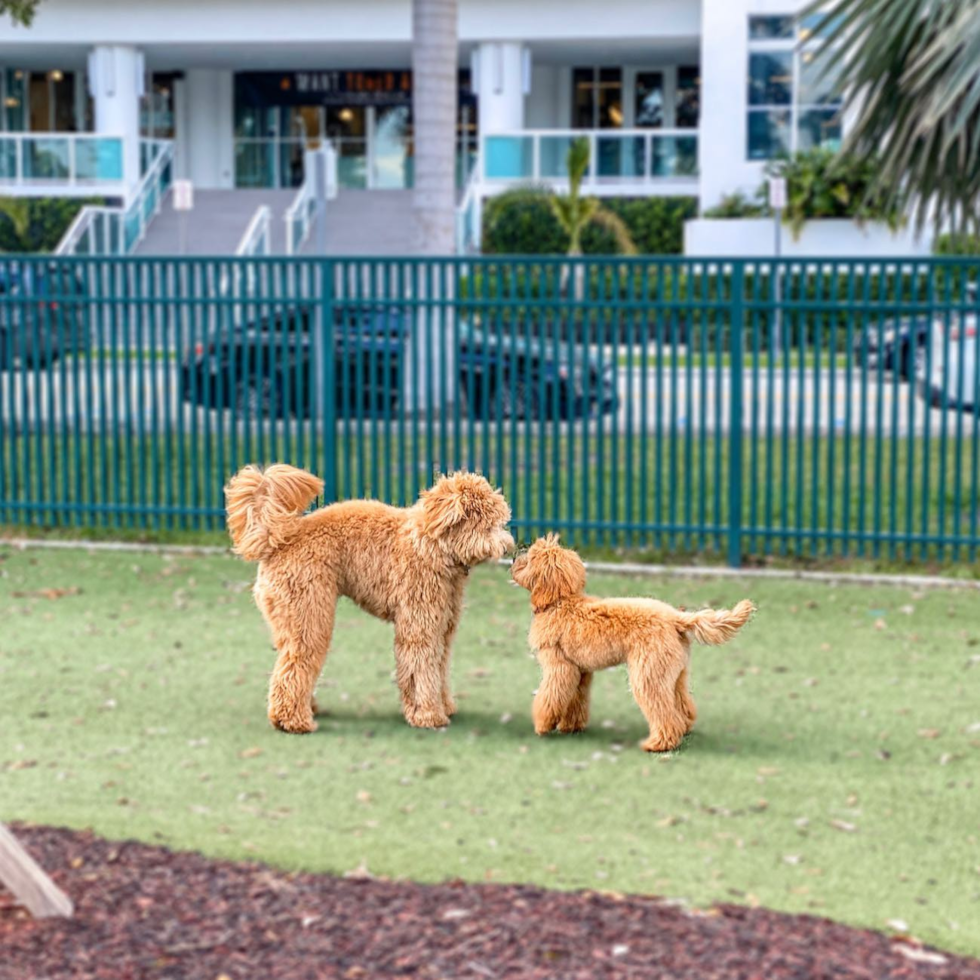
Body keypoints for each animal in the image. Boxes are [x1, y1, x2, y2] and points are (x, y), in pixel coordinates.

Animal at [223, 468, 512, 736]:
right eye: (487, 524)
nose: (508, 547)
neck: (430, 544)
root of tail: (278, 540)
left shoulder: (443, 627)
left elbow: (439, 666)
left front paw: (445, 706)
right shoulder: (420, 626)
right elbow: (420, 669)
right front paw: (428, 716)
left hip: (288, 620)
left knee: (288, 664)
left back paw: (307, 708)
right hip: (308, 614)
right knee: (294, 666)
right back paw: (293, 721)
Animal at [510, 536, 756, 752]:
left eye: (530, 558)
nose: (513, 559)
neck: (560, 602)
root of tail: (676, 618)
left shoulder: (559, 667)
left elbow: (550, 696)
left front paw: (543, 725)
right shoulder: (580, 671)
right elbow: (574, 699)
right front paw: (571, 726)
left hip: (648, 674)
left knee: (664, 715)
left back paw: (659, 744)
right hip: (675, 673)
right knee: (682, 706)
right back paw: (684, 729)